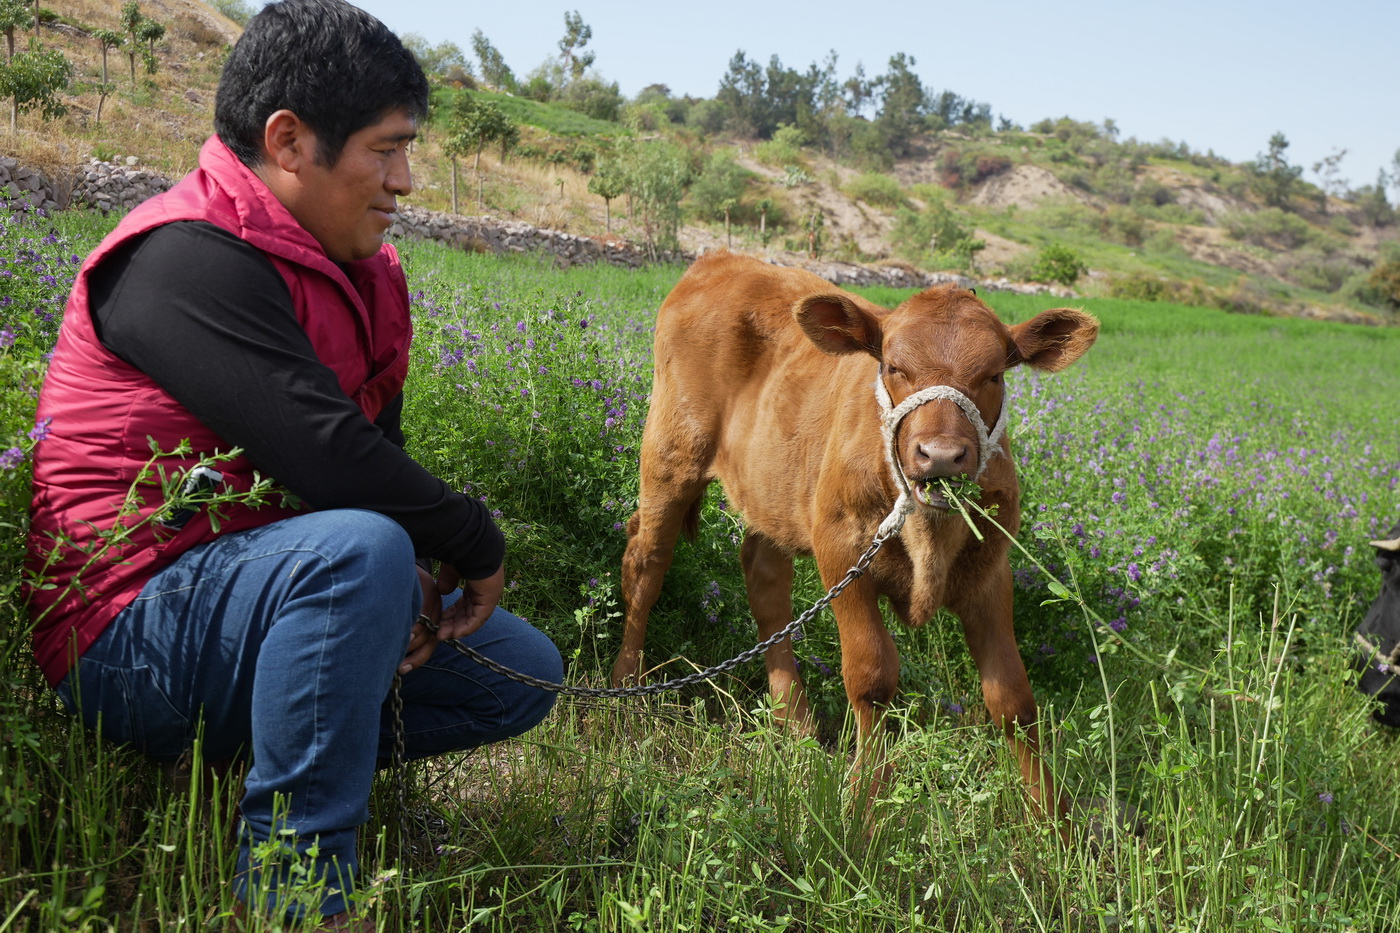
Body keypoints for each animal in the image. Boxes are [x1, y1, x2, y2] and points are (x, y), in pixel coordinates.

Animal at [613, 250, 1103, 818]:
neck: (929, 531)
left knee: (765, 582)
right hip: (671, 454)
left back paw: (795, 723)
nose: (940, 455)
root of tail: (723, 258)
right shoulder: (842, 551)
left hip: (775, 487)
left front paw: (1055, 820)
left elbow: (1013, 700)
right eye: (893, 366)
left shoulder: (990, 569)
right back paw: (624, 684)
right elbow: (871, 676)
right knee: (646, 564)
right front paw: (864, 806)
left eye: (996, 374)